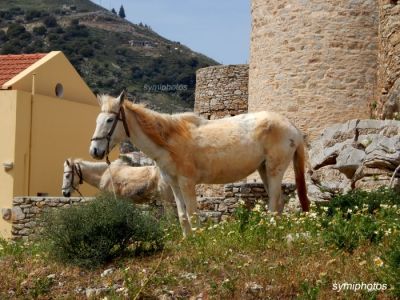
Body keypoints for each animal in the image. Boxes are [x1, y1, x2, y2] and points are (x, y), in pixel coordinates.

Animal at [90, 91, 310, 237]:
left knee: (274, 203)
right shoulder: (174, 184)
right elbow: (182, 215)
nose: (94, 151)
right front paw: (188, 241)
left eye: (110, 120)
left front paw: (198, 242)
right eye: (97, 119)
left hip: (274, 170)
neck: (169, 141)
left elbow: (193, 214)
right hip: (263, 169)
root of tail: (292, 128)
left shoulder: (187, 183)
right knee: (279, 203)